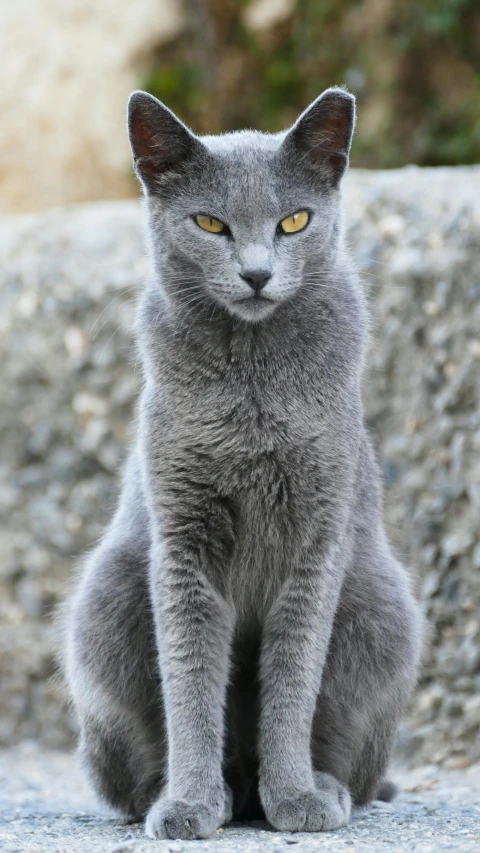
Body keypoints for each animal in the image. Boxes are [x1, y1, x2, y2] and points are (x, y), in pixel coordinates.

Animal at [63, 88, 424, 840]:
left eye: (294, 220)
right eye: (209, 222)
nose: (257, 274)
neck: (253, 388)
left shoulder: (317, 538)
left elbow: (292, 678)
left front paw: (296, 799)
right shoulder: (182, 541)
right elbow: (191, 679)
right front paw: (189, 804)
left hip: (381, 611)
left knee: (352, 759)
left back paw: (315, 789)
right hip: (105, 602)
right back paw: (198, 794)